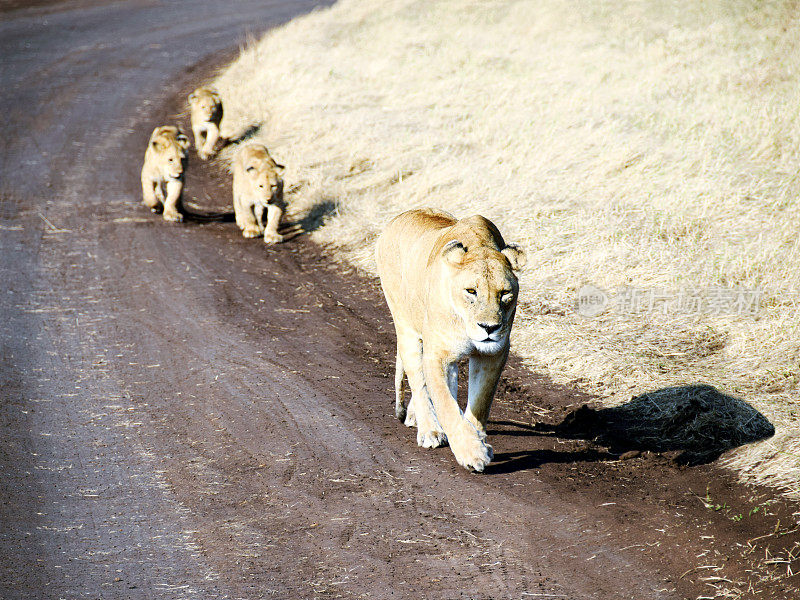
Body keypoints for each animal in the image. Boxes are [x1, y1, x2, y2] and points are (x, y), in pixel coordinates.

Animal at [376, 209, 524, 472]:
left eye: (505, 294)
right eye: (471, 291)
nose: (489, 328)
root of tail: (398, 217)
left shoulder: (493, 354)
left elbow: (480, 401)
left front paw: (477, 439)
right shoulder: (437, 353)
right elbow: (444, 403)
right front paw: (471, 452)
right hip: (406, 329)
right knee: (419, 382)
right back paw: (429, 430)